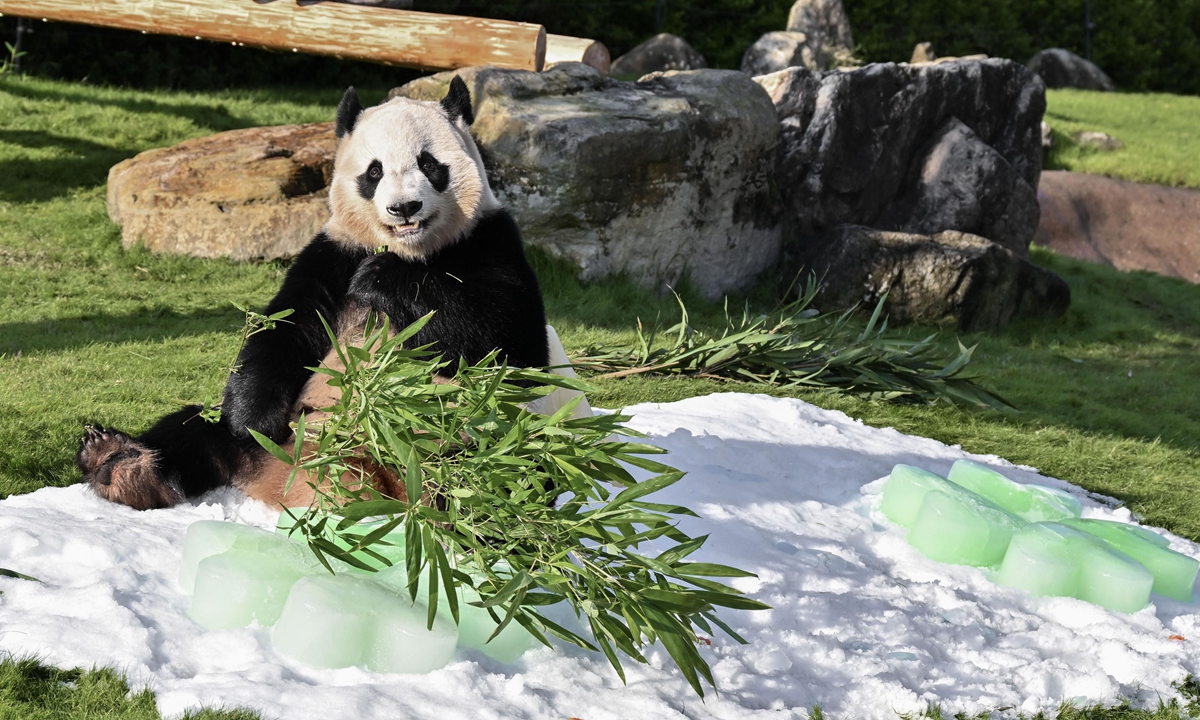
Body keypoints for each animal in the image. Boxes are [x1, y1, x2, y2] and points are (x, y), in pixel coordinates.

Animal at [76, 77, 550, 511]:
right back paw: (119, 465)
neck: (413, 250)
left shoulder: (491, 242)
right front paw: (254, 420)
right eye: (374, 172)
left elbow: (505, 343)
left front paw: (382, 278)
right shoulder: (332, 255)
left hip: (469, 444)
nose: (404, 208)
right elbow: (284, 332)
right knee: (195, 431)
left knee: (497, 473)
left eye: (430, 164)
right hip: (260, 435)